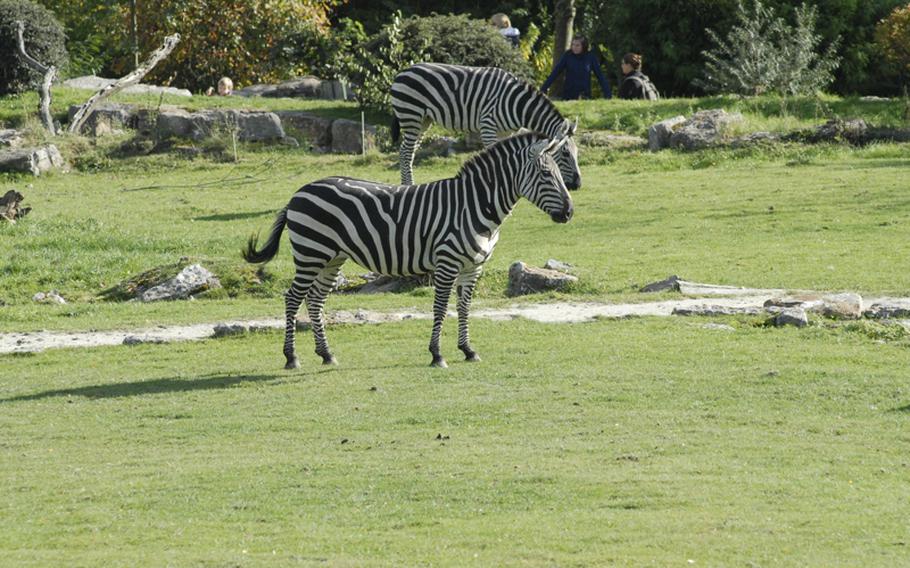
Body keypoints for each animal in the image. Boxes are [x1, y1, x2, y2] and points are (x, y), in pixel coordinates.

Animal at [246, 131, 572, 370]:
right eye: (546, 174)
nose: (569, 213)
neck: (474, 205)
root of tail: (299, 192)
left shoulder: (473, 267)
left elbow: (464, 307)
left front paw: (468, 349)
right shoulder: (447, 263)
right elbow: (440, 307)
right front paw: (437, 355)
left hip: (331, 258)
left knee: (314, 301)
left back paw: (326, 354)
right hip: (310, 254)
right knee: (292, 298)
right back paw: (291, 358)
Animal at [388, 63, 580, 190]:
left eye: (577, 152)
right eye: (565, 153)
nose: (578, 185)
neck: (517, 104)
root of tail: (402, 72)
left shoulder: (507, 132)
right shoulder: (488, 125)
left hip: (424, 120)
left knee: (410, 151)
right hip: (411, 115)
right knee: (405, 152)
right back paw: (408, 185)